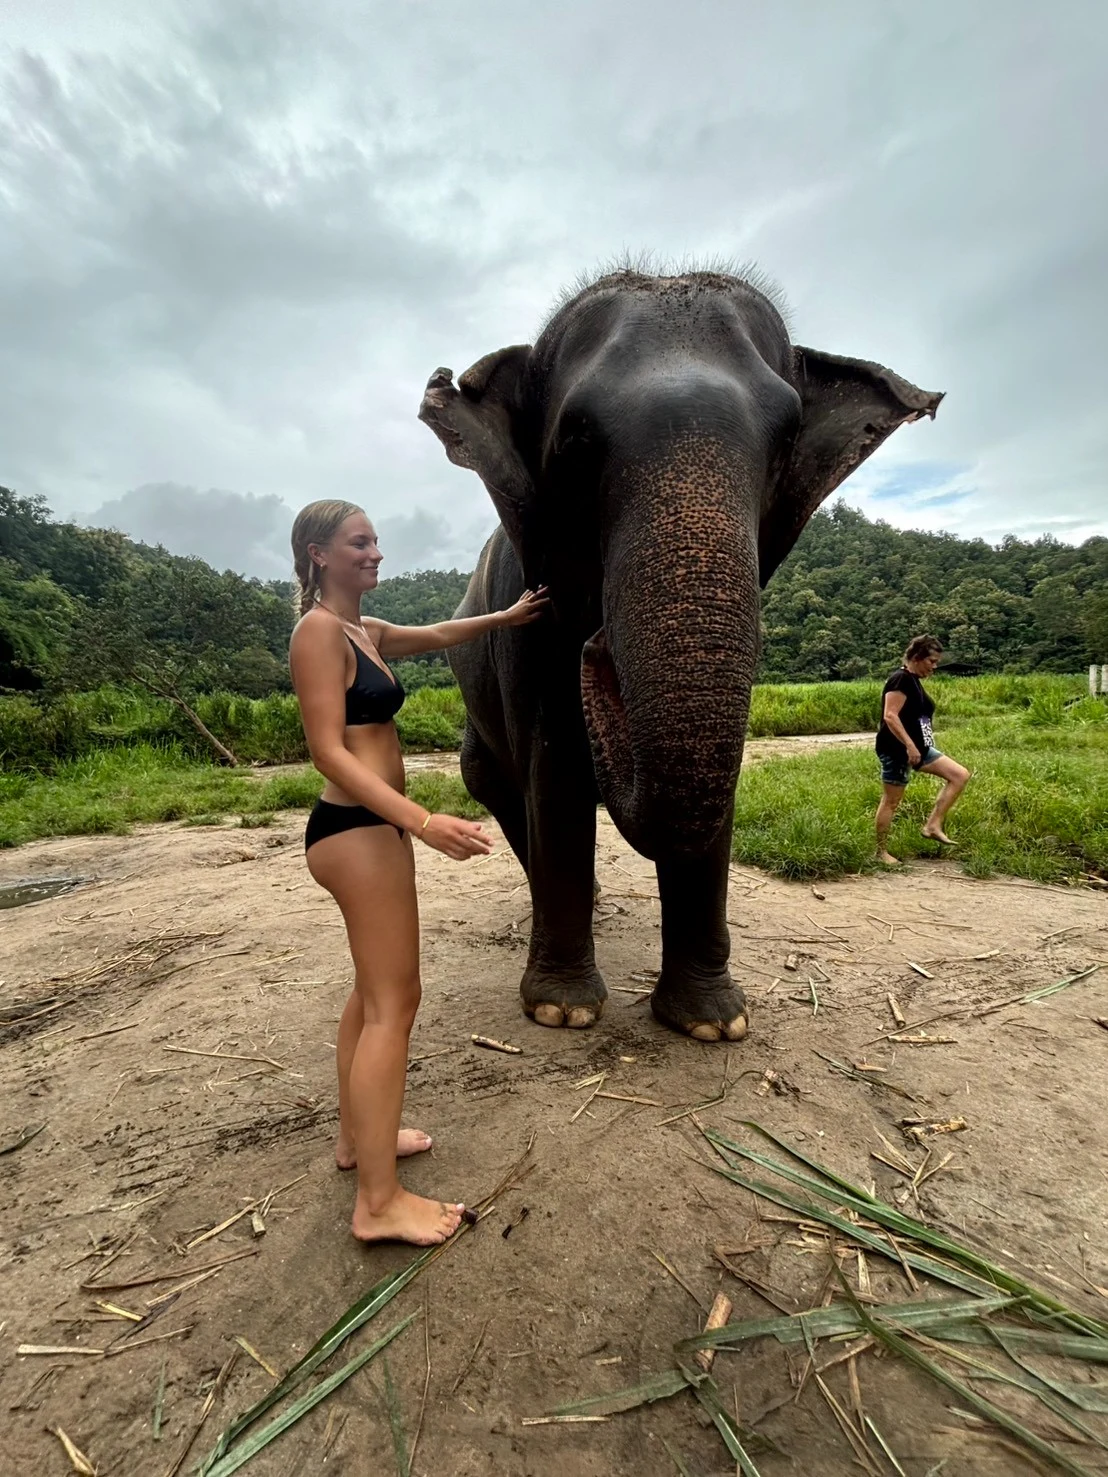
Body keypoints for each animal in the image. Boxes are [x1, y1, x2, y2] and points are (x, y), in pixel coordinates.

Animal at [418, 266, 942, 1042]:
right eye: (575, 442)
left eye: (786, 437)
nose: (596, 642)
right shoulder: (527, 623)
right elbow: (555, 766)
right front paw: (563, 1011)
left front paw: (713, 1023)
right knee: (503, 789)